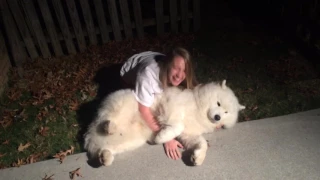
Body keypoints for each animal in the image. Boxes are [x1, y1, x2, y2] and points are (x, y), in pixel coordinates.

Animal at [83, 79, 245, 167]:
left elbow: (202, 143)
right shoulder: (171, 105)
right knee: (106, 118)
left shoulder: (190, 134)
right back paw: (109, 126)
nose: (218, 117)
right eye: (218, 103)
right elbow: (177, 125)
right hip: (123, 105)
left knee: (104, 149)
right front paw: (161, 137)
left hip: (129, 142)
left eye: (226, 113)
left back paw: (105, 157)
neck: (198, 109)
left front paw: (197, 157)